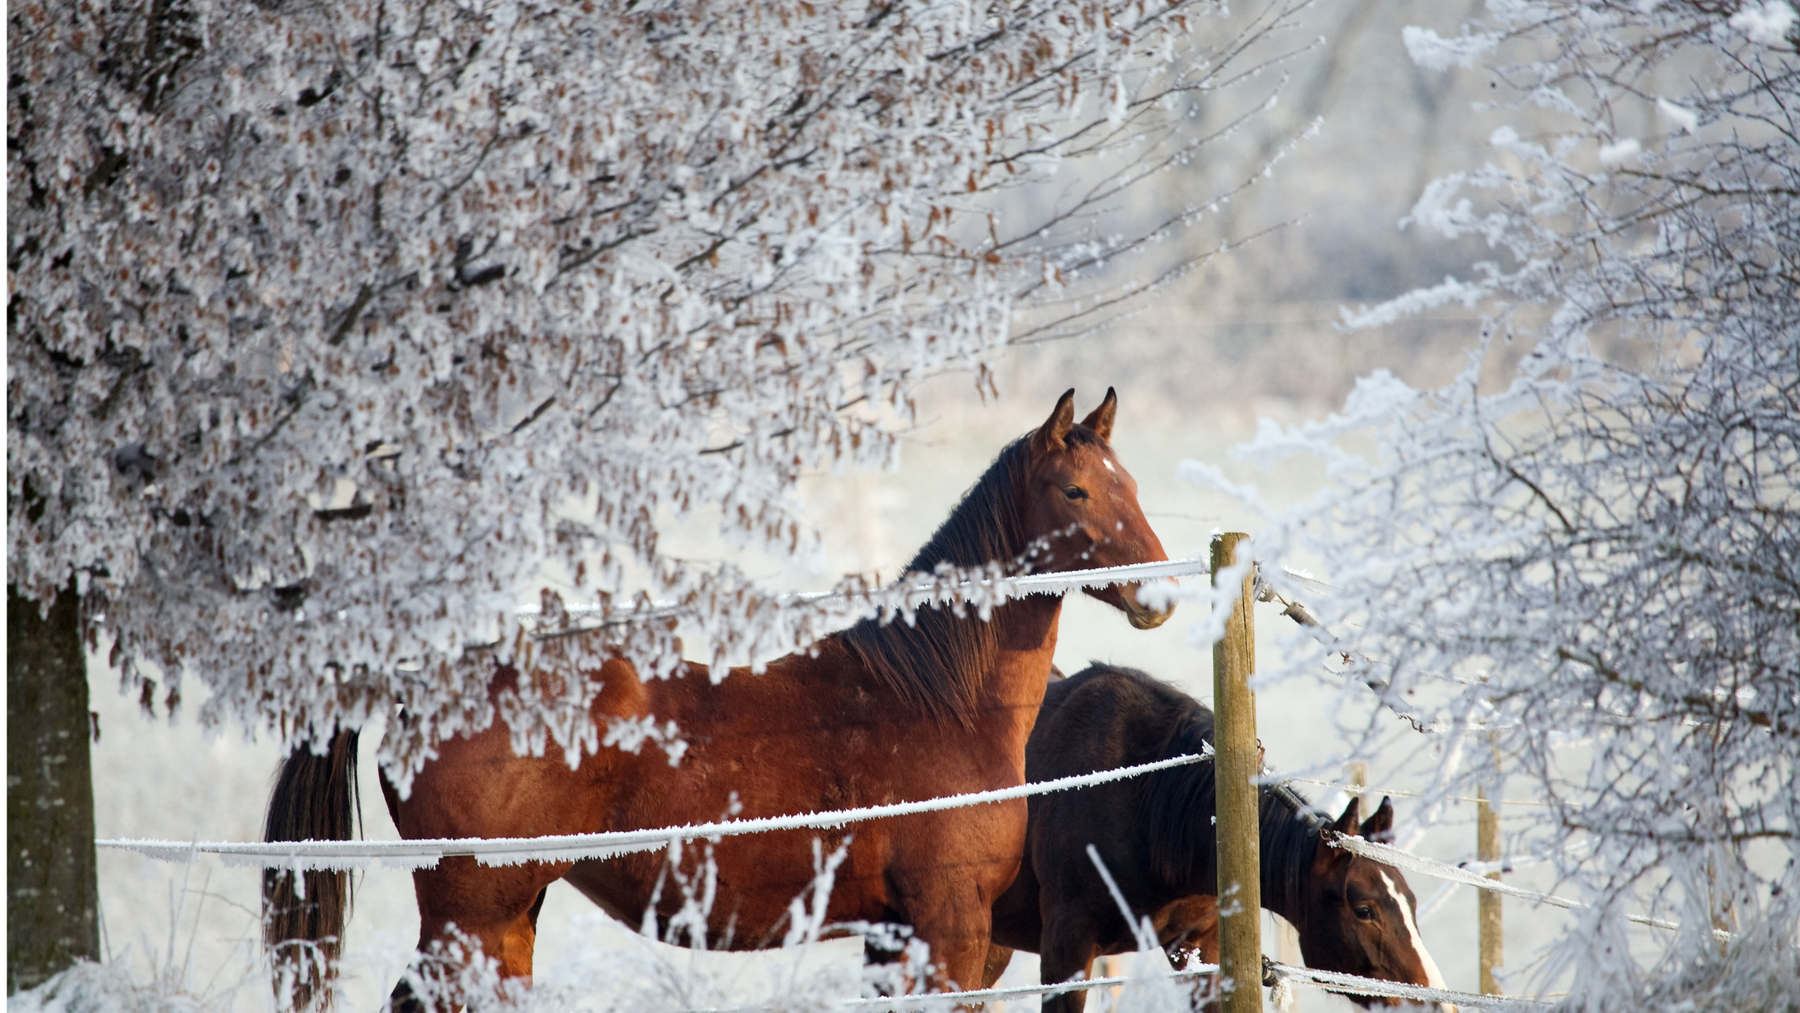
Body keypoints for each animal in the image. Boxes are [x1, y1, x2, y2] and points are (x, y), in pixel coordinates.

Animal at [263, 389, 1176, 1011]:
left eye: (1130, 481)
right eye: (1075, 491)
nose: (1160, 597)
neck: (935, 696)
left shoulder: (897, 939)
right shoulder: (948, 931)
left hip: (510, 917)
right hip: (473, 917)